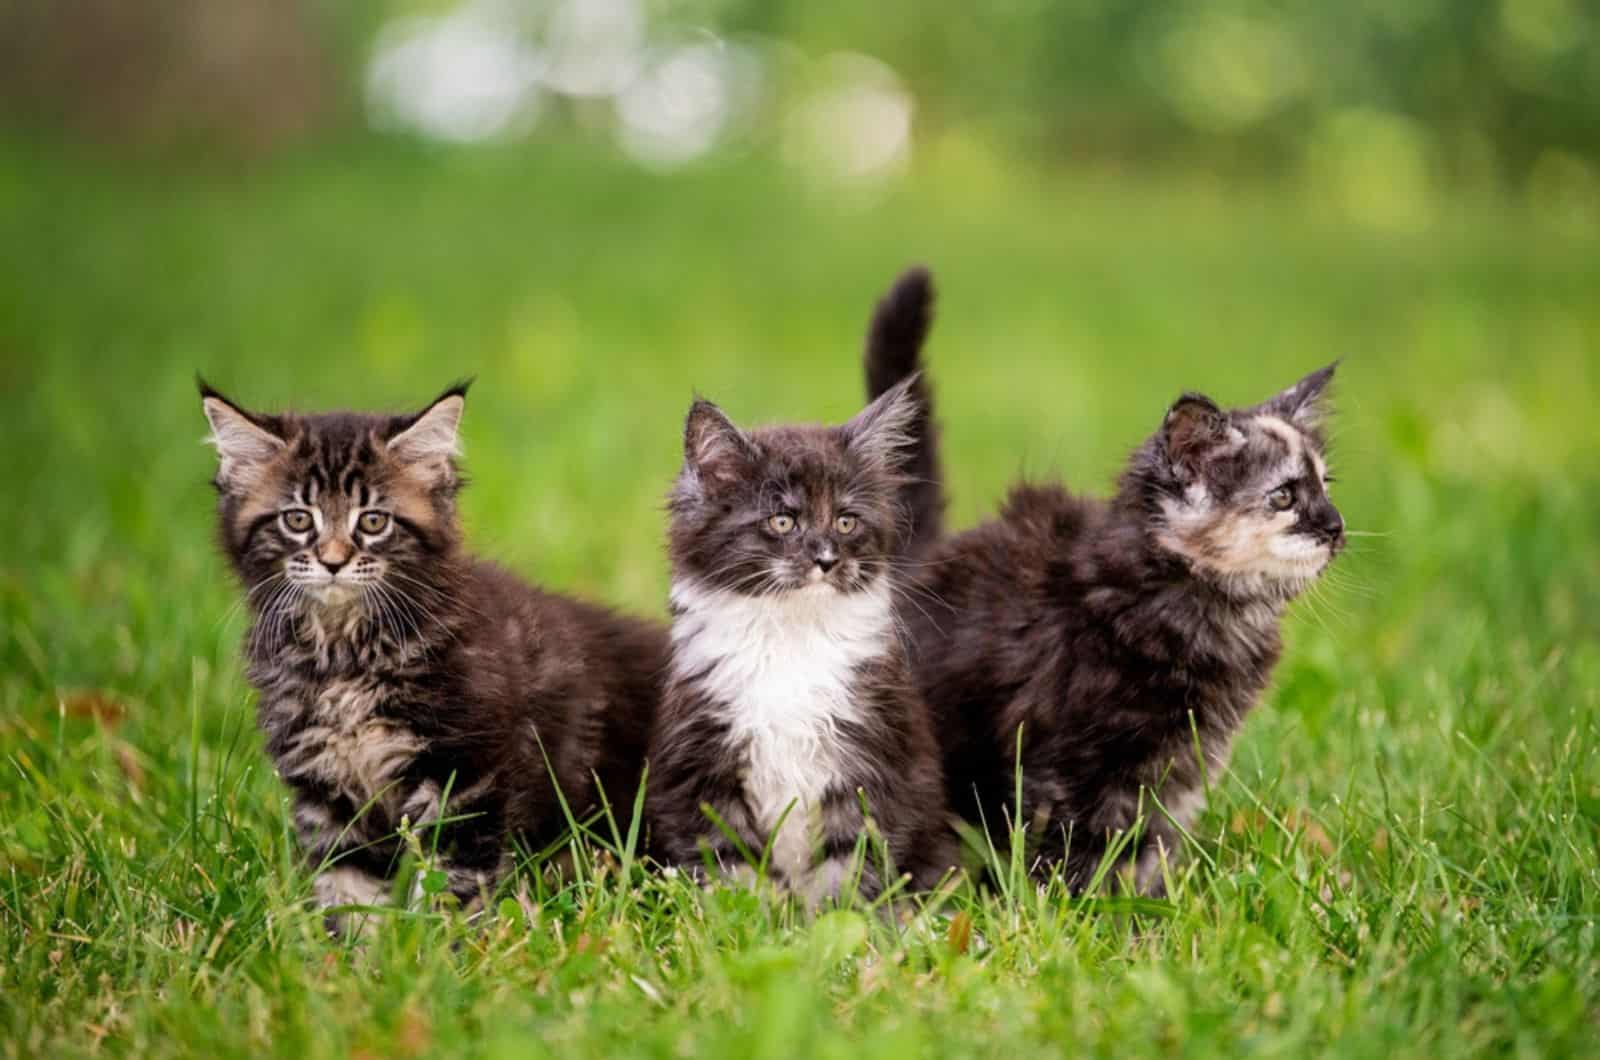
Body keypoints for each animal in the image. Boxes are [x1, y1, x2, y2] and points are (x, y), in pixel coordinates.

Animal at [198, 382, 662, 928]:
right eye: (297, 519)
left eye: (373, 521)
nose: (333, 561)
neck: (344, 654)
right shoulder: (328, 792)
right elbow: (348, 888)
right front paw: (355, 950)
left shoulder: (466, 772)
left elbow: (452, 883)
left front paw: (441, 944)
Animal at [643, 377, 953, 903]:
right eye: (783, 521)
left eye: (846, 521)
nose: (826, 559)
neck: (789, 637)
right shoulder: (703, 765)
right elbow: (733, 866)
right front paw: (746, 919)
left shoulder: (869, 761)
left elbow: (848, 866)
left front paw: (838, 923)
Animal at [870, 296, 1344, 890]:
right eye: (1284, 497)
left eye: (1326, 487)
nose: (1336, 527)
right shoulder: (1068, 766)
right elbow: (1072, 851)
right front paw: (1077, 906)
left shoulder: (1179, 768)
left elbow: (1151, 846)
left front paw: (1155, 902)